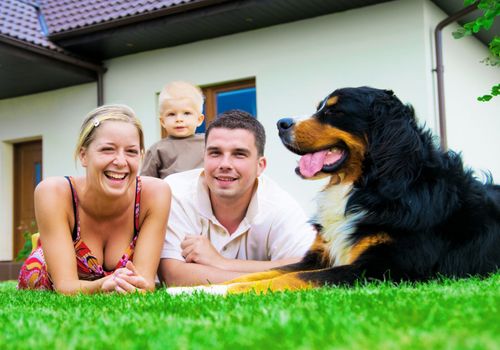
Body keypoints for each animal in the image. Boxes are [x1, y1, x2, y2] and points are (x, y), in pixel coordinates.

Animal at [169, 86, 500, 294]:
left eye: (335, 111)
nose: (281, 123)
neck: (368, 186)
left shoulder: (380, 269)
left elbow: (286, 279)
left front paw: (217, 291)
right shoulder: (319, 256)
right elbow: (265, 272)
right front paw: (191, 289)